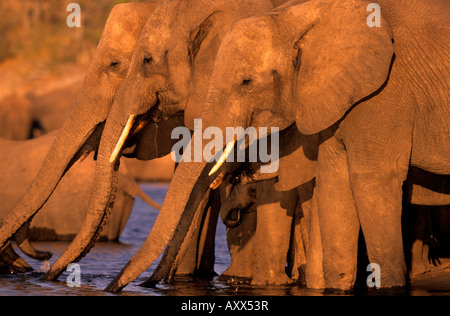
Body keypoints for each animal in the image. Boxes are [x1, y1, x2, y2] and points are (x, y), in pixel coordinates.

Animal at [103, 0, 450, 292]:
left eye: (246, 82)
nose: (118, 287)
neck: (300, 16)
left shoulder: (385, 94)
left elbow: (371, 183)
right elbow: (334, 188)